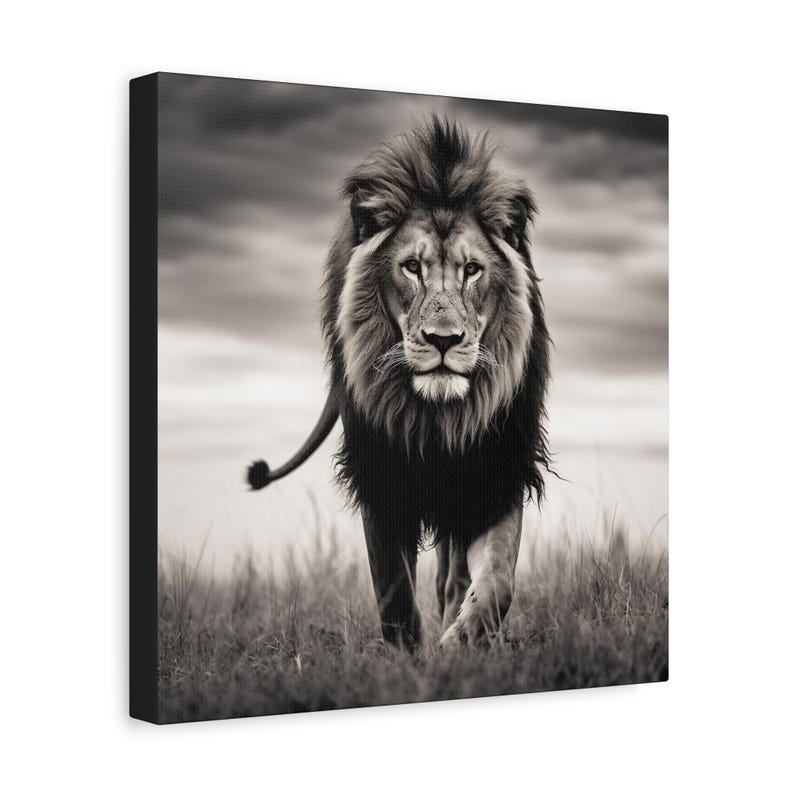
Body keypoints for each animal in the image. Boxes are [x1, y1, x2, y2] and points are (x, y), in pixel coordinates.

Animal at [247, 117, 550, 650]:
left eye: (473, 270)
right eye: (411, 267)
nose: (444, 339)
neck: (436, 417)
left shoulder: (498, 467)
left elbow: (496, 581)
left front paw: (458, 643)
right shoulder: (381, 475)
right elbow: (394, 594)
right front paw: (411, 658)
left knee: (456, 571)